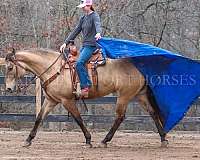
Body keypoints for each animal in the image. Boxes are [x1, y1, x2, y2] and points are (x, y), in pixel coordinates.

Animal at [3, 48, 169, 148]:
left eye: (10, 67)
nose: (9, 88)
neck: (54, 69)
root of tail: (138, 65)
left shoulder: (67, 101)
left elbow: (78, 119)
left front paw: (88, 140)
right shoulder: (52, 100)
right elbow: (39, 118)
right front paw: (28, 140)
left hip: (124, 96)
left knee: (120, 117)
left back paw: (104, 141)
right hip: (139, 95)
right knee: (153, 113)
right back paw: (163, 139)